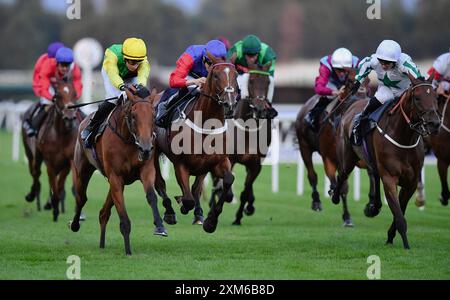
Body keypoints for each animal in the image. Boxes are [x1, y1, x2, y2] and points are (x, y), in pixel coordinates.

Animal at [69, 86, 163, 255]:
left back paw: (101, 242)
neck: (128, 139)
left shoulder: (145, 170)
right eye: (134, 116)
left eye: (153, 115)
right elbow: (123, 216)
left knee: (103, 212)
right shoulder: (115, 176)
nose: (146, 148)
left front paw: (159, 226)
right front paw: (128, 250)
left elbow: (151, 196)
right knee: (81, 198)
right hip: (83, 170)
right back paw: (75, 224)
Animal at [153, 52, 239, 233]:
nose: (229, 104)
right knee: (160, 183)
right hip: (152, 153)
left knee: (196, 188)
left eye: (236, 75)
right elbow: (187, 199)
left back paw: (199, 215)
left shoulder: (217, 161)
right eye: (215, 75)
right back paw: (170, 212)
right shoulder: (180, 164)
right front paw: (182, 204)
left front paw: (210, 221)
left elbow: (227, 182)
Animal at [209, 61, 272, 225]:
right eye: (251, 81)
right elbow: (225, 188)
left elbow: (246, 190)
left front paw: (239, 216)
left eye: (268, 82)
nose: (259, 108)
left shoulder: (256, 164)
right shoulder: (229, 159)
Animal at [296, 69, 370, 225]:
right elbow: (341, 187)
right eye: (350, 81)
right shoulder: (329, 158)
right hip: (304, 146)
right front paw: (346, 216)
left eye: (369, 81)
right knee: (312, 175)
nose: (362, 98)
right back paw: (317, 201)